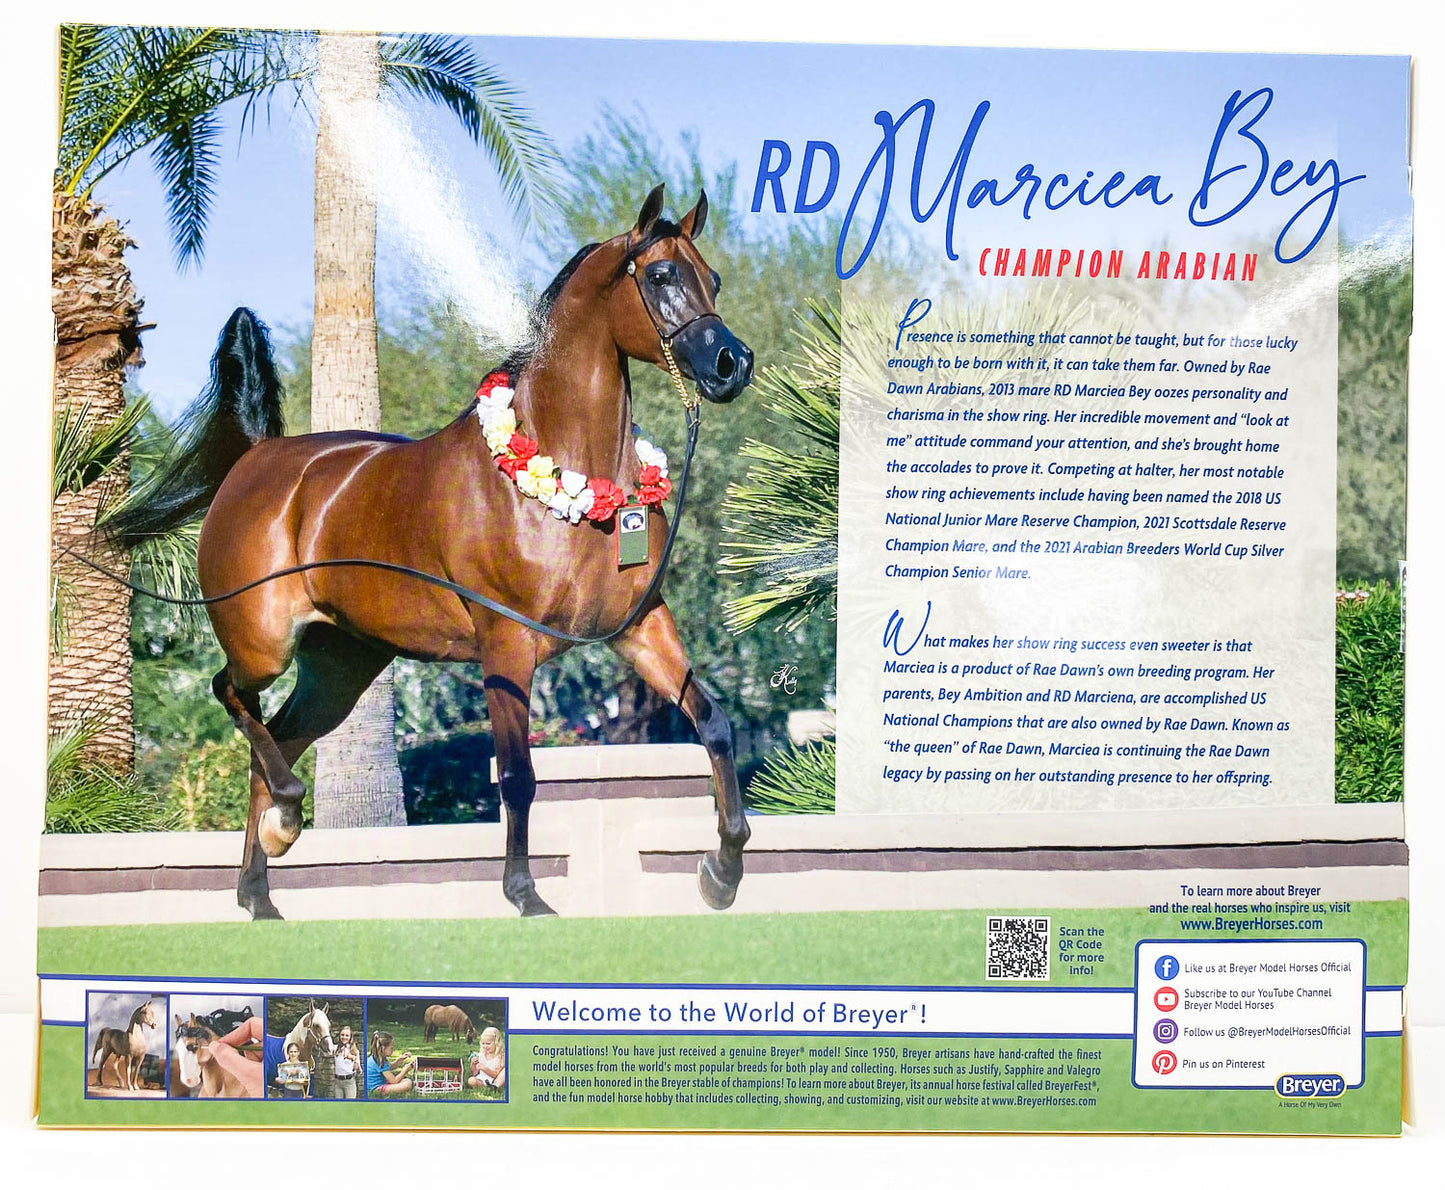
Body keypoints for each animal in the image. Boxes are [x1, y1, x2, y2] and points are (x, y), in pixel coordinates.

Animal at [110, 184, 754, 921]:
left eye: (713, 279)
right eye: (660, 275)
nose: (732, 364)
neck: (561, 476)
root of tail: (257, 458)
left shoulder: (640, 627)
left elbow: (715, 724)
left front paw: (722, 872)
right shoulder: (506, 646)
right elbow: (518, 774)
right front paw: (526, 896)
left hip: (340, 668)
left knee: (274, 743)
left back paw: (260, 891)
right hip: (262, 642)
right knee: (232, 698)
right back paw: (287, 822)